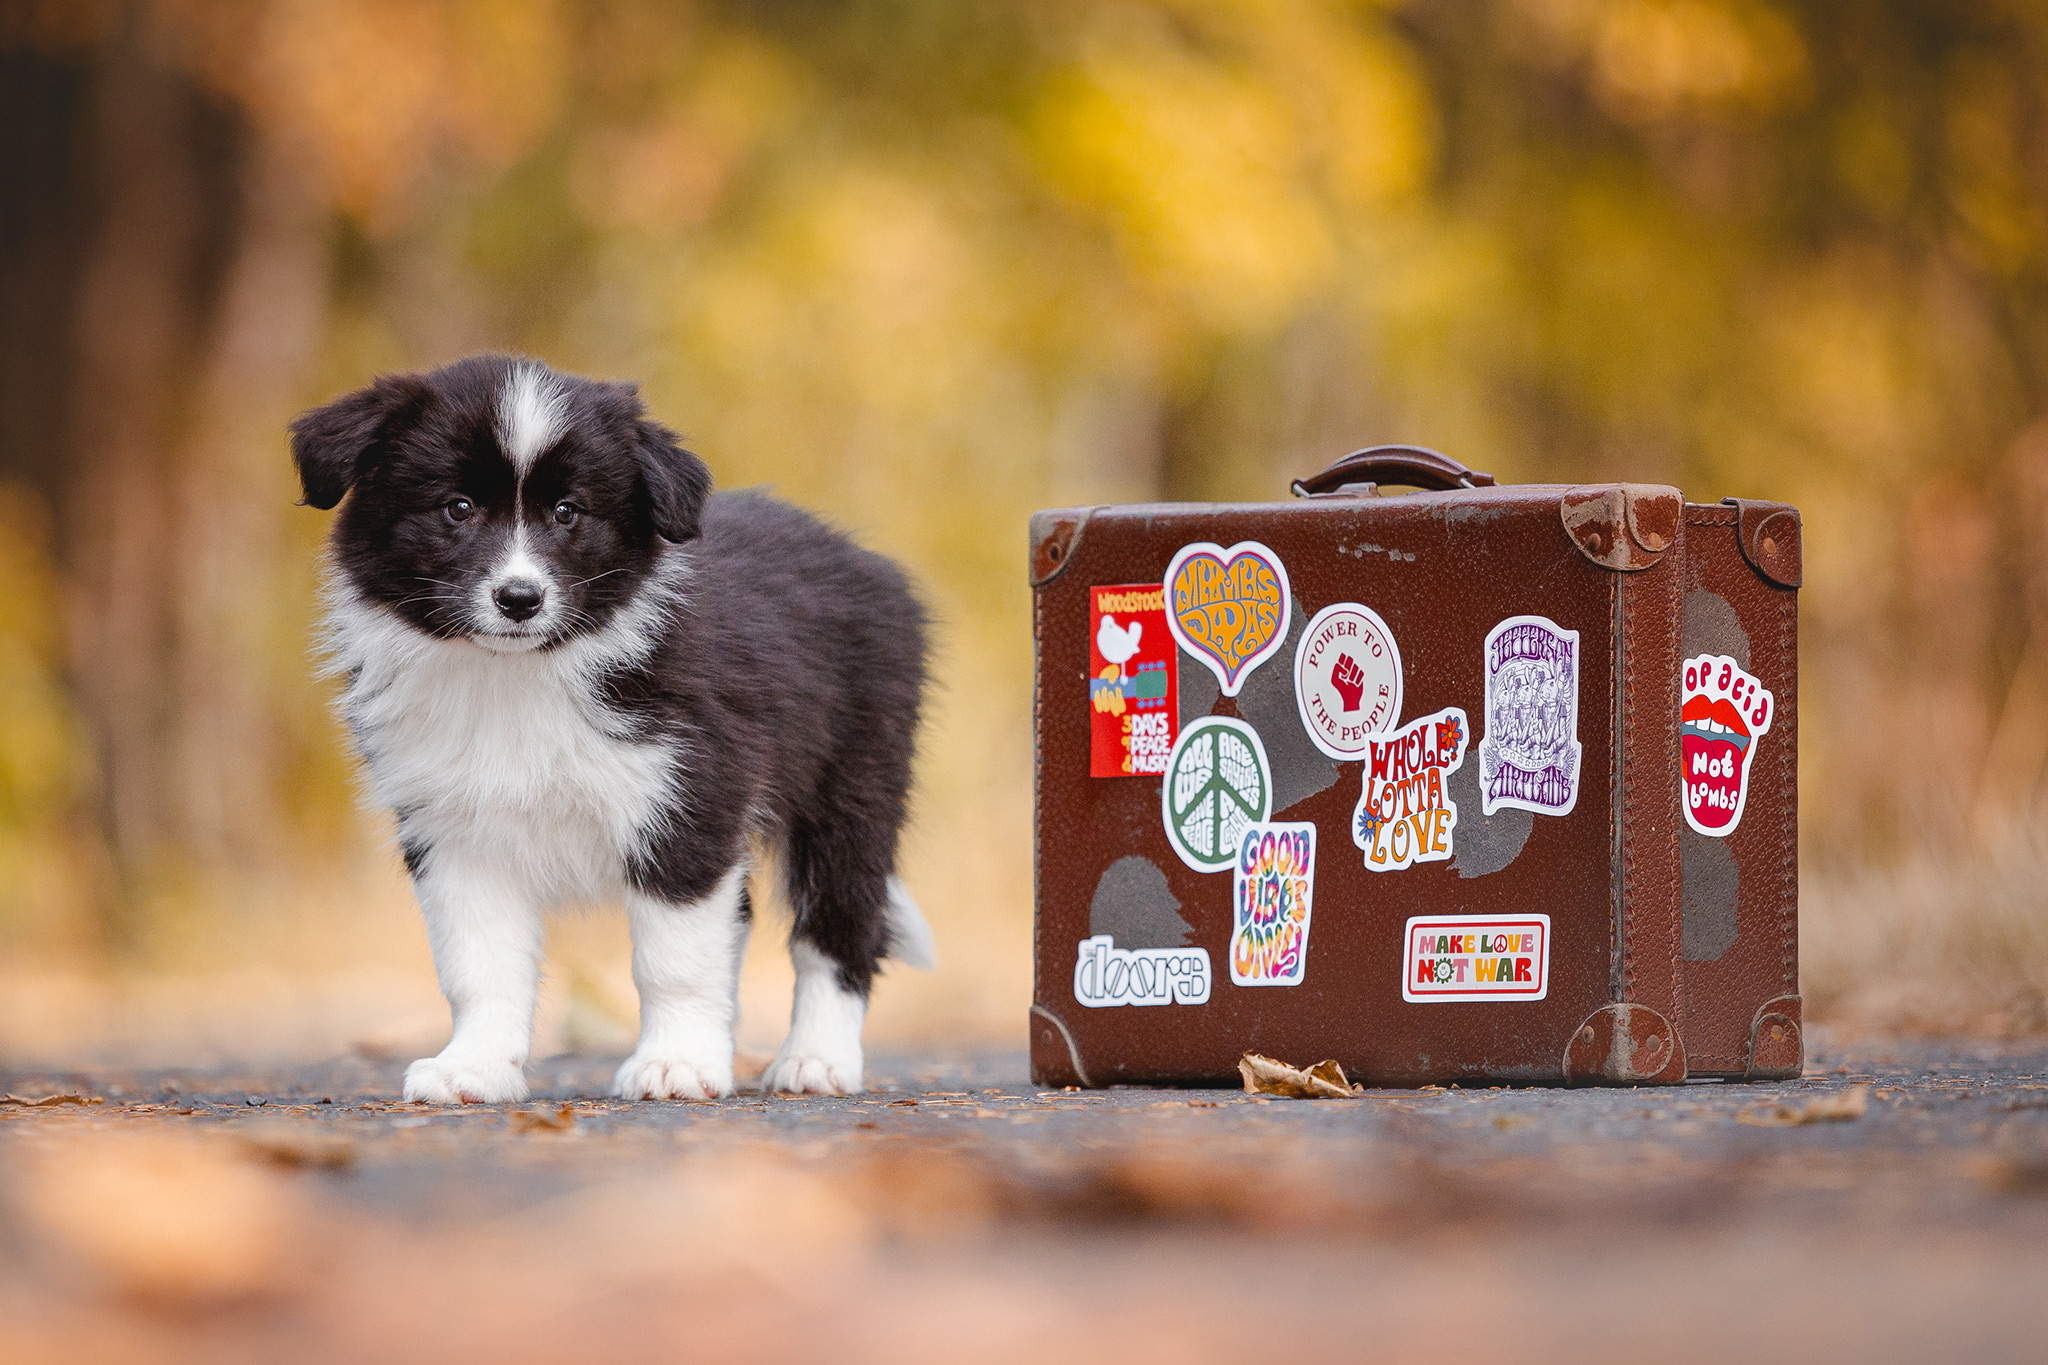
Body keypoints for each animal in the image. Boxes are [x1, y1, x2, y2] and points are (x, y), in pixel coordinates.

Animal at [288, 358, 929, 1105]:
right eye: (457, 506)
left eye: (568, 511)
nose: (519, 598)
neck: (517, 676)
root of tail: (863, 560)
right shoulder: (453, 830)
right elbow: (479, 964)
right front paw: (472, 1067)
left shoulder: (687, 801)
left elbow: (674, 957)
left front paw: (676, 1063)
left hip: (853, 781)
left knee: (839, 923)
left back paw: (817, 1059)